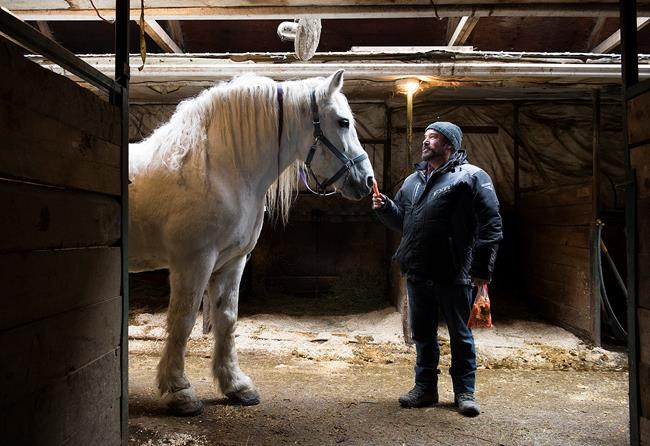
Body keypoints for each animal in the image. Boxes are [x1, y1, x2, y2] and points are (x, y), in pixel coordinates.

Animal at [128, 70, 375, 416]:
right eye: (343, 122)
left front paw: (236, 385)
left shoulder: (233, 262)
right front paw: (179, 391)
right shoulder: (194, 261)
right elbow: (183, 320)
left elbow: (226, 319)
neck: (217, 171)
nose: (367, 180)